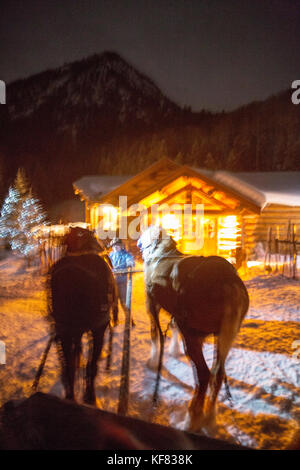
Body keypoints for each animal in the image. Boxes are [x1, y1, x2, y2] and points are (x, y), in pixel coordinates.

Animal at [48, 227, 118, 404]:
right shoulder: (99, 326)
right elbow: (91, 363)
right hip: (95, 327)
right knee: (90, 364)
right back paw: (89, 395)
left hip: (64, 328)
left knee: (69, 365)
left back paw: (71, 395)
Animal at [138, 226, 248, 432]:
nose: (139, 243)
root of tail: (228, 282)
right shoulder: (174, 314)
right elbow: (172, 327)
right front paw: (173, 351)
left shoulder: (152, 304)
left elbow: (155, 334)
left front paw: (153, 360)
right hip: (224, 335)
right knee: (218, 373)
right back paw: (210, 418)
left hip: (193, 334)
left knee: (203, 374)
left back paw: (191, 419)